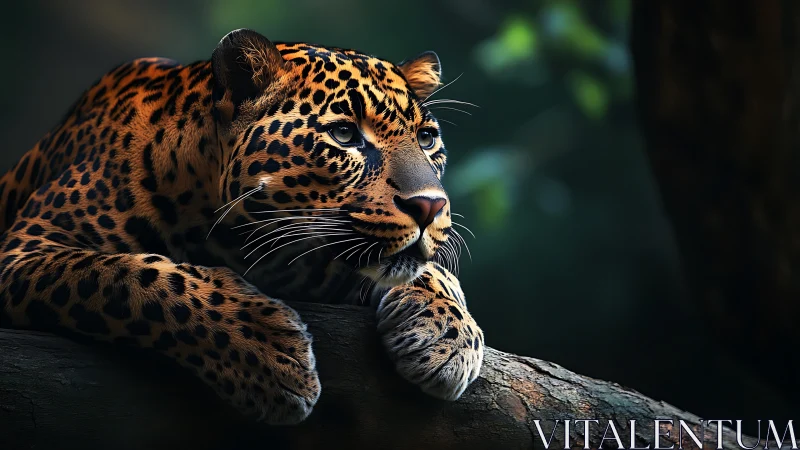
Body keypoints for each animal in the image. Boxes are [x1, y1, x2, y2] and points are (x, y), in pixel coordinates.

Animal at [0, 29, 484, 425]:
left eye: (426, 139)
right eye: (345, 135)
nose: (430, 206)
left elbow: (428, 271)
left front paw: (448, 337)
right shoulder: (27, 249)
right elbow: (136, 274)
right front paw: (266, 349)